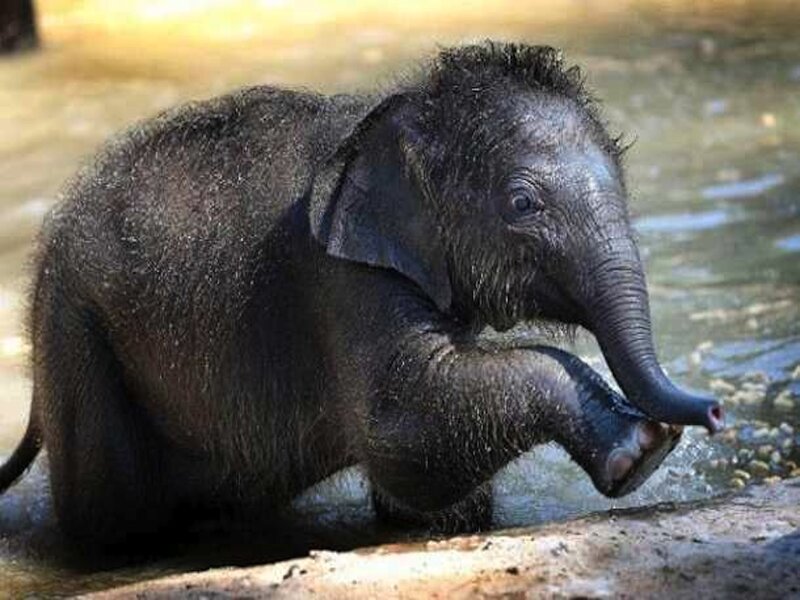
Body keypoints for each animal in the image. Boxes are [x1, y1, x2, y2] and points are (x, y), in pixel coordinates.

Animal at [0, 42, 723, 547]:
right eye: (524, 204)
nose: (712, 413)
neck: (403, 111)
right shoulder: (340, 278)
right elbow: (403, 427)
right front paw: (640, 451)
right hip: (76, 334)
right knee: (115, 514)